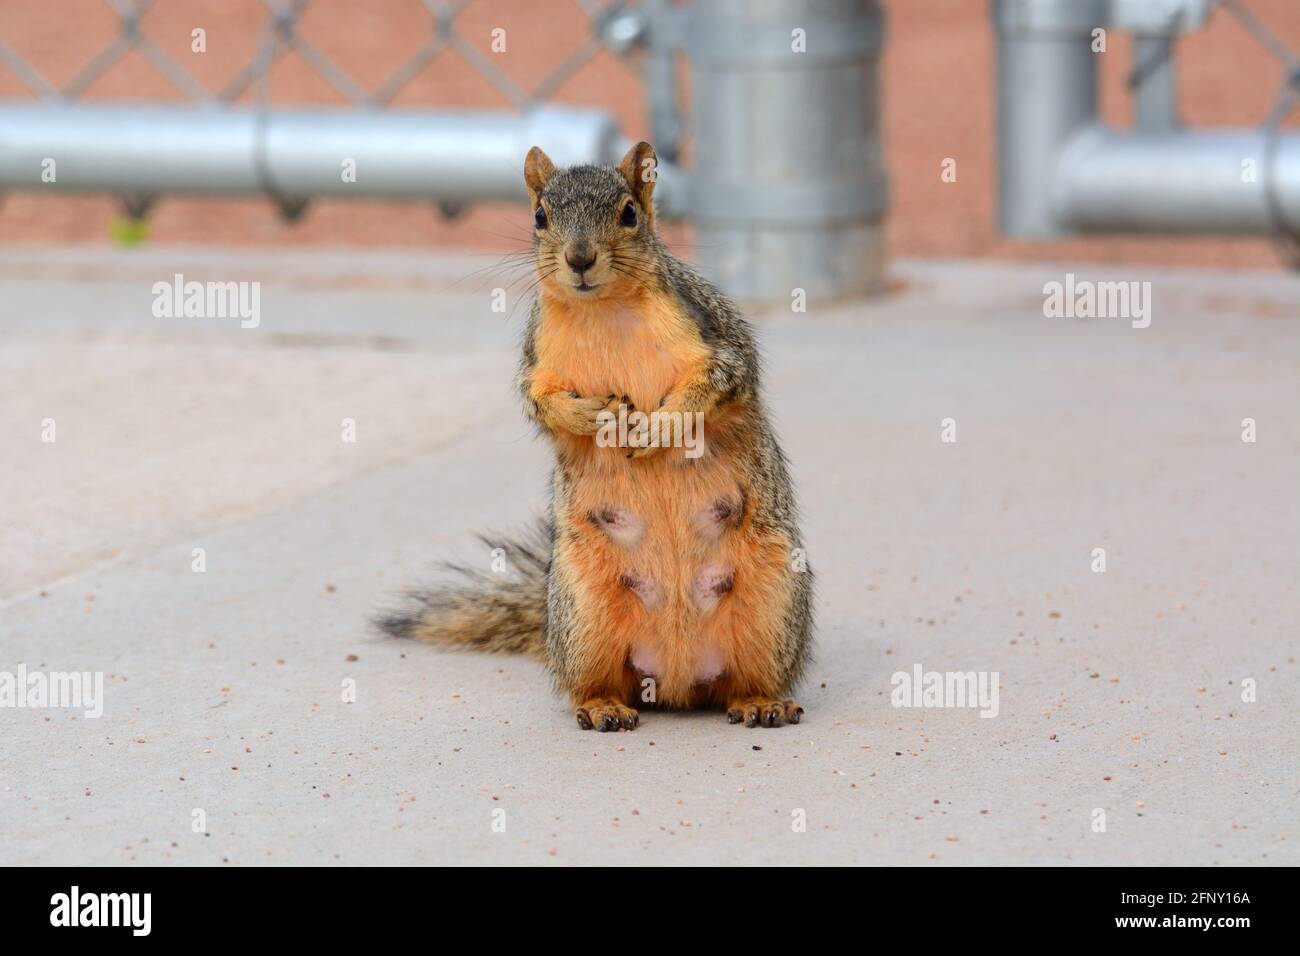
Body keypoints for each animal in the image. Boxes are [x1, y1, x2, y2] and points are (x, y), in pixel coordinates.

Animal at [374, 140, 811, 733]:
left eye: (628, 213)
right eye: (540, 216)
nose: (579, 258)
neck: (602, 311)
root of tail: (678, 679)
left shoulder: (717, 338)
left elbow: (718, 383)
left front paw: (657, 428)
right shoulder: (536, 364)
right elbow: (541, 405)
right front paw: (591, 417)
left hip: (774, 595)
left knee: (749, 677)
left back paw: (762, 701)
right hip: (584, 610)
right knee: (593, 682)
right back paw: (602, 707)